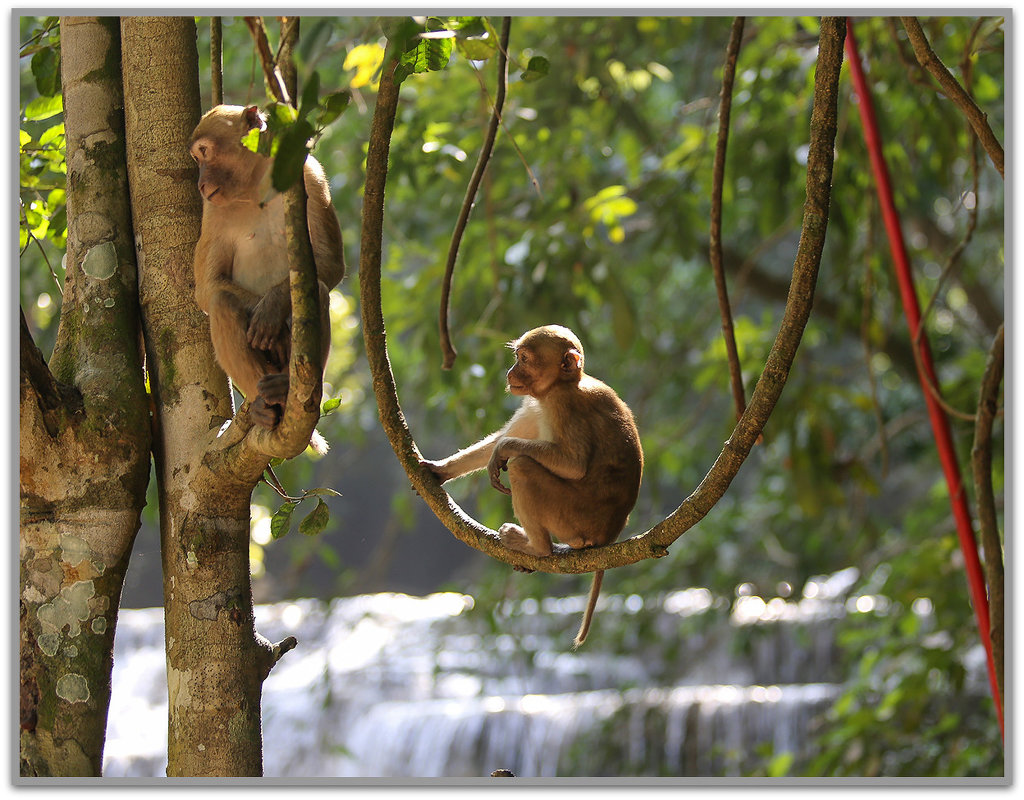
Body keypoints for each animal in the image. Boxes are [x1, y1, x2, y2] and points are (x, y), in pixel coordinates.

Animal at [186, 105, 342, 434]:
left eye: (204, 152)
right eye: (196, 158)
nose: (201, 184)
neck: (255, 183)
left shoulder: (309, 175)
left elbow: (330, 262)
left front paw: (272, 307)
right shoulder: (212, 210)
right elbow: (208, 287)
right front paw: (273, 324)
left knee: (317, 290)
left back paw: (285, 387)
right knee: (222, 301)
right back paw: (264, 404)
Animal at [421, 327, 643, 647]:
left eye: (524, 359)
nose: (510, 372)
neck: (563, 384)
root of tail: (610, 534)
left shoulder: (563, 405)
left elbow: (573, 465)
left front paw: (504, 448)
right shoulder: (536, 403)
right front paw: (439, 470)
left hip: (573, 517)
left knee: (523, 467)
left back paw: (538, 549)